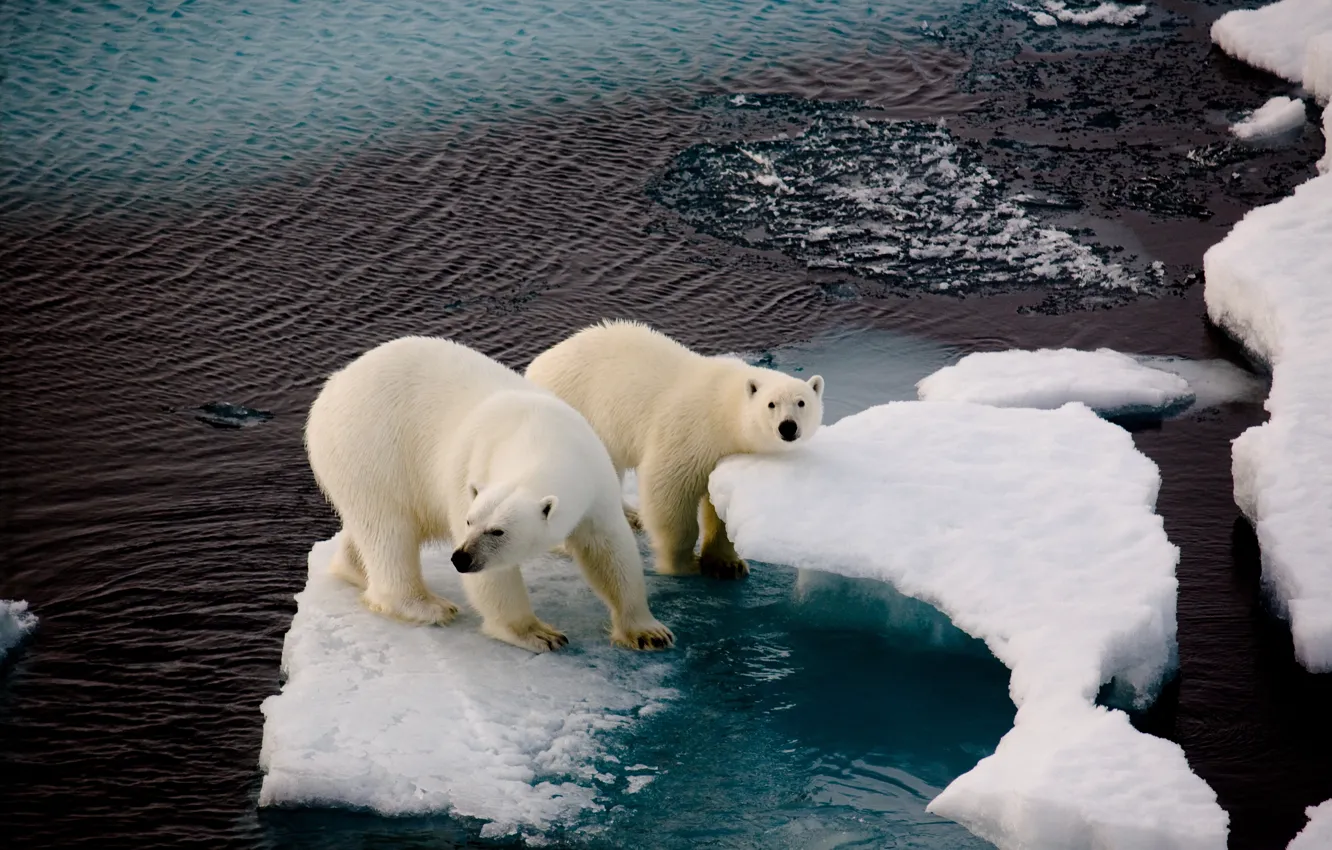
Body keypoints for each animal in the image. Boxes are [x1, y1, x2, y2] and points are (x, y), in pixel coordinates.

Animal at [304, 336, 674, 653]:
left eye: (498, 531)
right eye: (470, 522)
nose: (460, 558)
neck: (541, 436)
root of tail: (333, 385)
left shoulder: (595, 477)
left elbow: (609, 549)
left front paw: (648, 632)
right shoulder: (470, 468)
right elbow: (495, 579)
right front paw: (538, 633)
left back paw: (353, 568)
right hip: (371, 448)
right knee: (388, 530)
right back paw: (428, 606)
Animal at [525, 321, 824, 580]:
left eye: (801, 402)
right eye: (771, 404)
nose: (788, 427)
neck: (723, 410)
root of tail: (535, 366)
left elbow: (720, 505)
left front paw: (728, 564)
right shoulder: (690, 433)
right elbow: (669, 493)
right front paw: (682, 564)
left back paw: (630, 515)